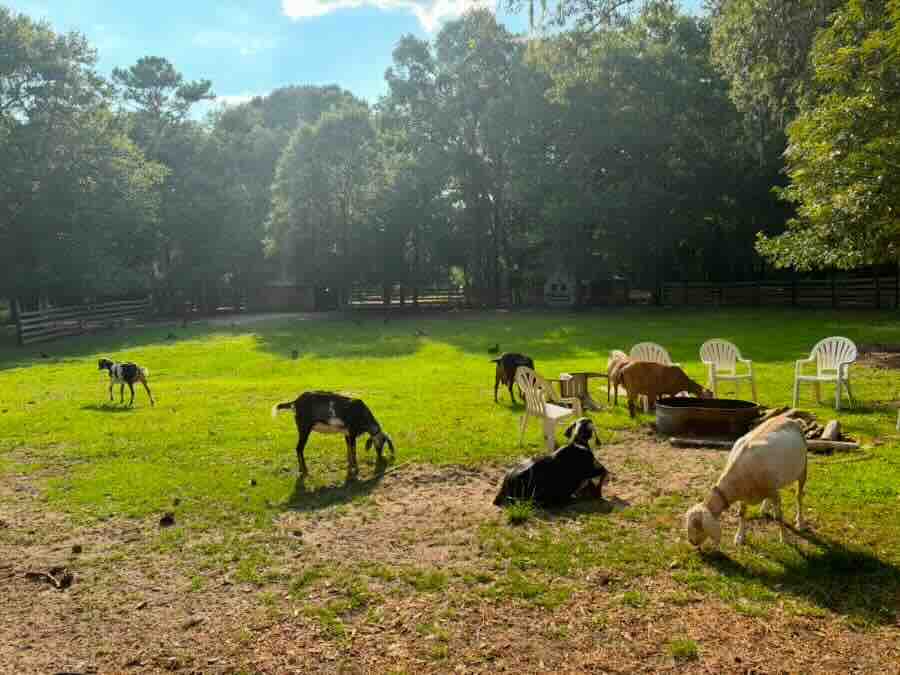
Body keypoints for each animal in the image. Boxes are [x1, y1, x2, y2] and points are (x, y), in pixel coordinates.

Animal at [685, 415, 807, 548]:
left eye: (697, 526)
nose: (692, 542)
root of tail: (792, 419)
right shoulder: (744, 494)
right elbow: (742, 513)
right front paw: (739, 537)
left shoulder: (771, 490)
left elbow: (780, 515)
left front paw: (784, 538)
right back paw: (764, 508)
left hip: (803, 468)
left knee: (799, 496)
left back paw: (800, 522)